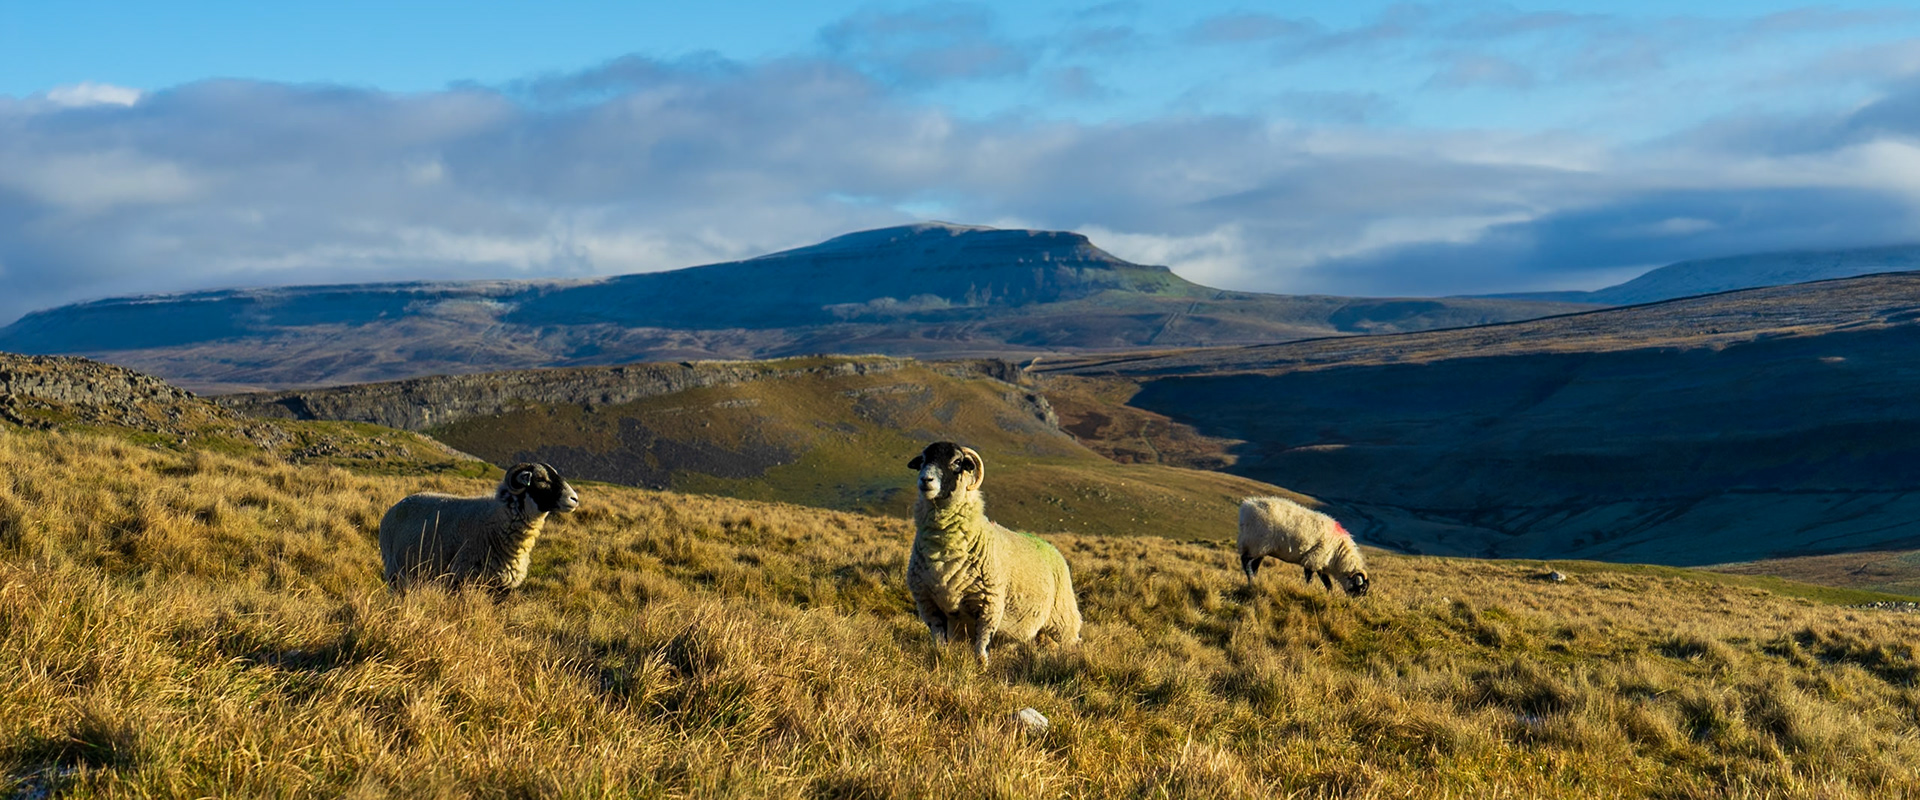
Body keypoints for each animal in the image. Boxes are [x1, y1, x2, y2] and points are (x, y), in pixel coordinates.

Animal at [379, 462, 580, 594]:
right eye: (541, 479)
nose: (574, 499)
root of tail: (396, 505)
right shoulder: (461, 578)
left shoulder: (500, 587)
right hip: (395, 572)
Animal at [905, 441, 1081, 666]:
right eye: (923, 460)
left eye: (957, 462)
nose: (925, 480)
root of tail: (1053, 549)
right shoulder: (928, 603)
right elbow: (938, 640)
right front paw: (940, 658)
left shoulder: (989, 602)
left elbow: (982, 642)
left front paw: (982, 665)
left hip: (1062, 618)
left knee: (1071, 641)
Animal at [1238, 496, 1370, 597]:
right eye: (1362, 589)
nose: (1356, 602)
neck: (1337, 555)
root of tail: (1246, 508)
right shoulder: (1313, 559)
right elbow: (1309, 579)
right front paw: (1308, 591)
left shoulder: (1321, 564)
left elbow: (1328, 584)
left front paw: (1329, 595)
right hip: (1255, 544)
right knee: (1245, 560)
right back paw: (1251, 579)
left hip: (1261, 548)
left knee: (1255, 565)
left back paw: (1255, 581)